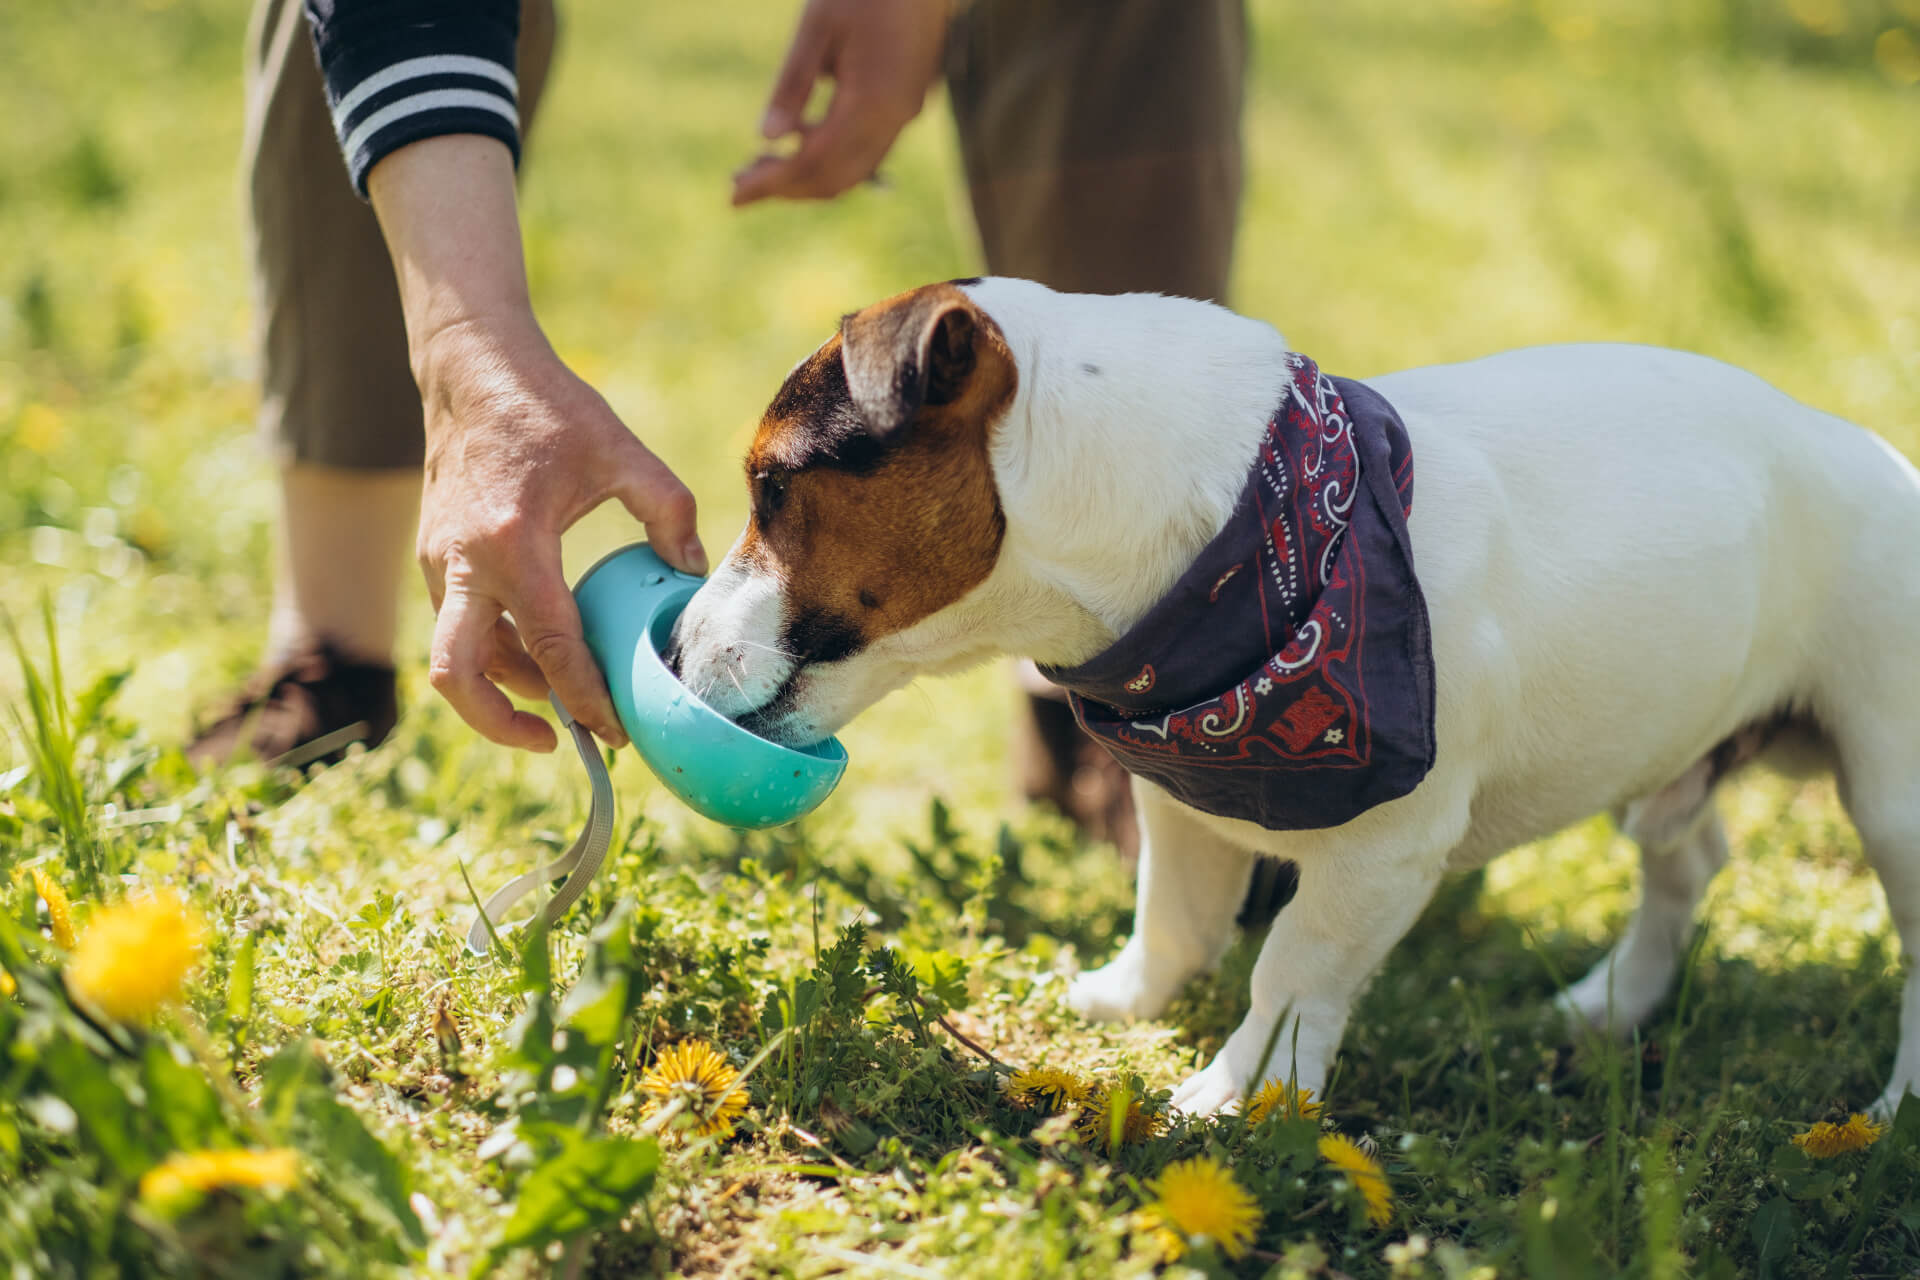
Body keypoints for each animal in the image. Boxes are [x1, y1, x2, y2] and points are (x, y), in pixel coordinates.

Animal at [672, 280, 1920, 1120]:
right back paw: (1614, 1001)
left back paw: (1890, 1111)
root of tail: (1871, 450)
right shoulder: (1182, 801)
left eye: (771, 485)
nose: (675, 649)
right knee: (1688, 854)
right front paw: (1122, 999)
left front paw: (1241, 1091)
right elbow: (1176, 917)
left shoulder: (1383, 848)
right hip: (1663, 731)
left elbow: (1294, 964)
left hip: (1892, 795)